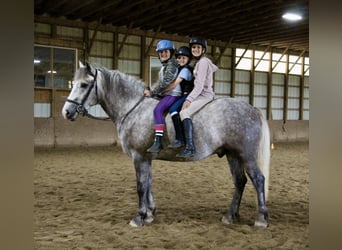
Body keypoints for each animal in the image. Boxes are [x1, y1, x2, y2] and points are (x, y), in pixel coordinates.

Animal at [61, 62, 270, 227]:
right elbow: (149, 184)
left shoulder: (139, 157)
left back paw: (261, 218)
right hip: (232, 154)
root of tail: (252, 108)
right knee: (240, 181)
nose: (66, 112)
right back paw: (230, 216)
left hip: (246, 155)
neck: (133, 108)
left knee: (258, 180)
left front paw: (139, 217)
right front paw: (150, 214)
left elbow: (141, 186)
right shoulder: (146, 158)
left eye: (83, 84)